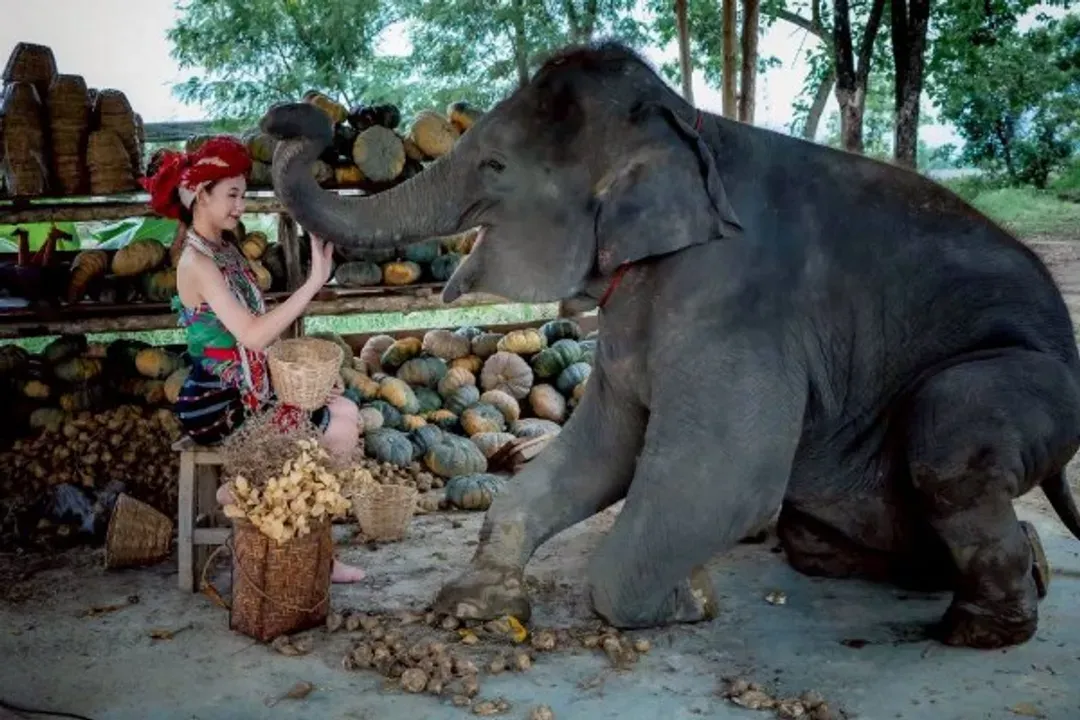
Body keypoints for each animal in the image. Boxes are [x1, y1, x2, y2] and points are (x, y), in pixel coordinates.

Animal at [261, 40, 1080, 650]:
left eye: (495, 165)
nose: (291, 118)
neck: (688, 126)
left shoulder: (739, 305)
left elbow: (723, 476)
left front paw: (694, 600)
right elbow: (603, 444)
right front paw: (471, 605)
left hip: (1024, 384)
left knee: (950, 444)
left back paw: (982, 628)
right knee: (827, 532)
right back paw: (1020, 570)